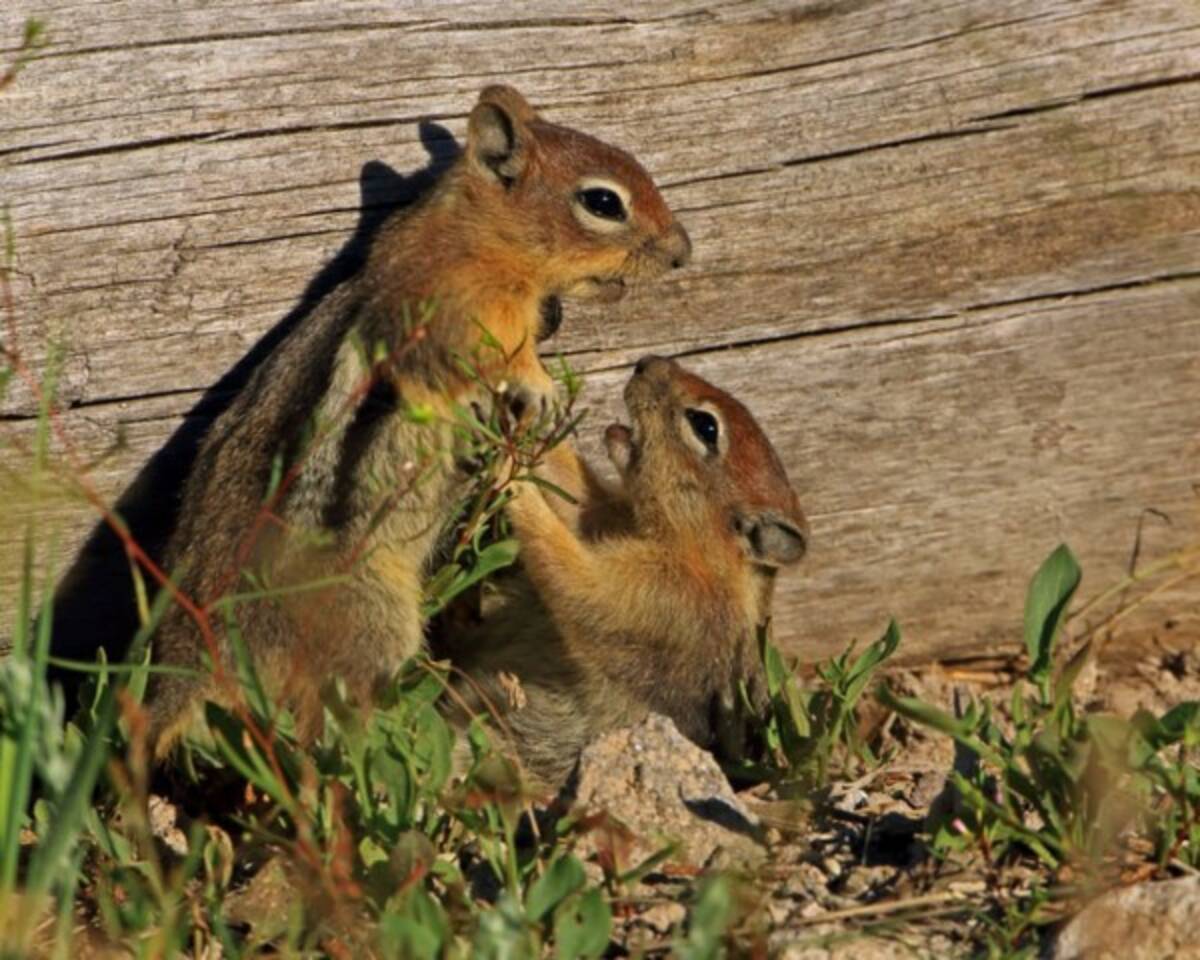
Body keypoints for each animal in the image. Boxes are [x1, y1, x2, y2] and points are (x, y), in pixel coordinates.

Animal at [147, 86, 696, 753]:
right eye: (603, 201)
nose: (682, 252)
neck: (476, 238)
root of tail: (199, 649)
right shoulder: (455, 312)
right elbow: (494, 357)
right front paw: (541, 387)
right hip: (374, 618)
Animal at [448, 355, 806, 792]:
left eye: (705, 425)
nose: (645, 363)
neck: (699, 553)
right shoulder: (607, 517)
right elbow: (574, 491)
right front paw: (527, 417)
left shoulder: (657, 599)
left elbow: (570, 572)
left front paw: (512, 478)